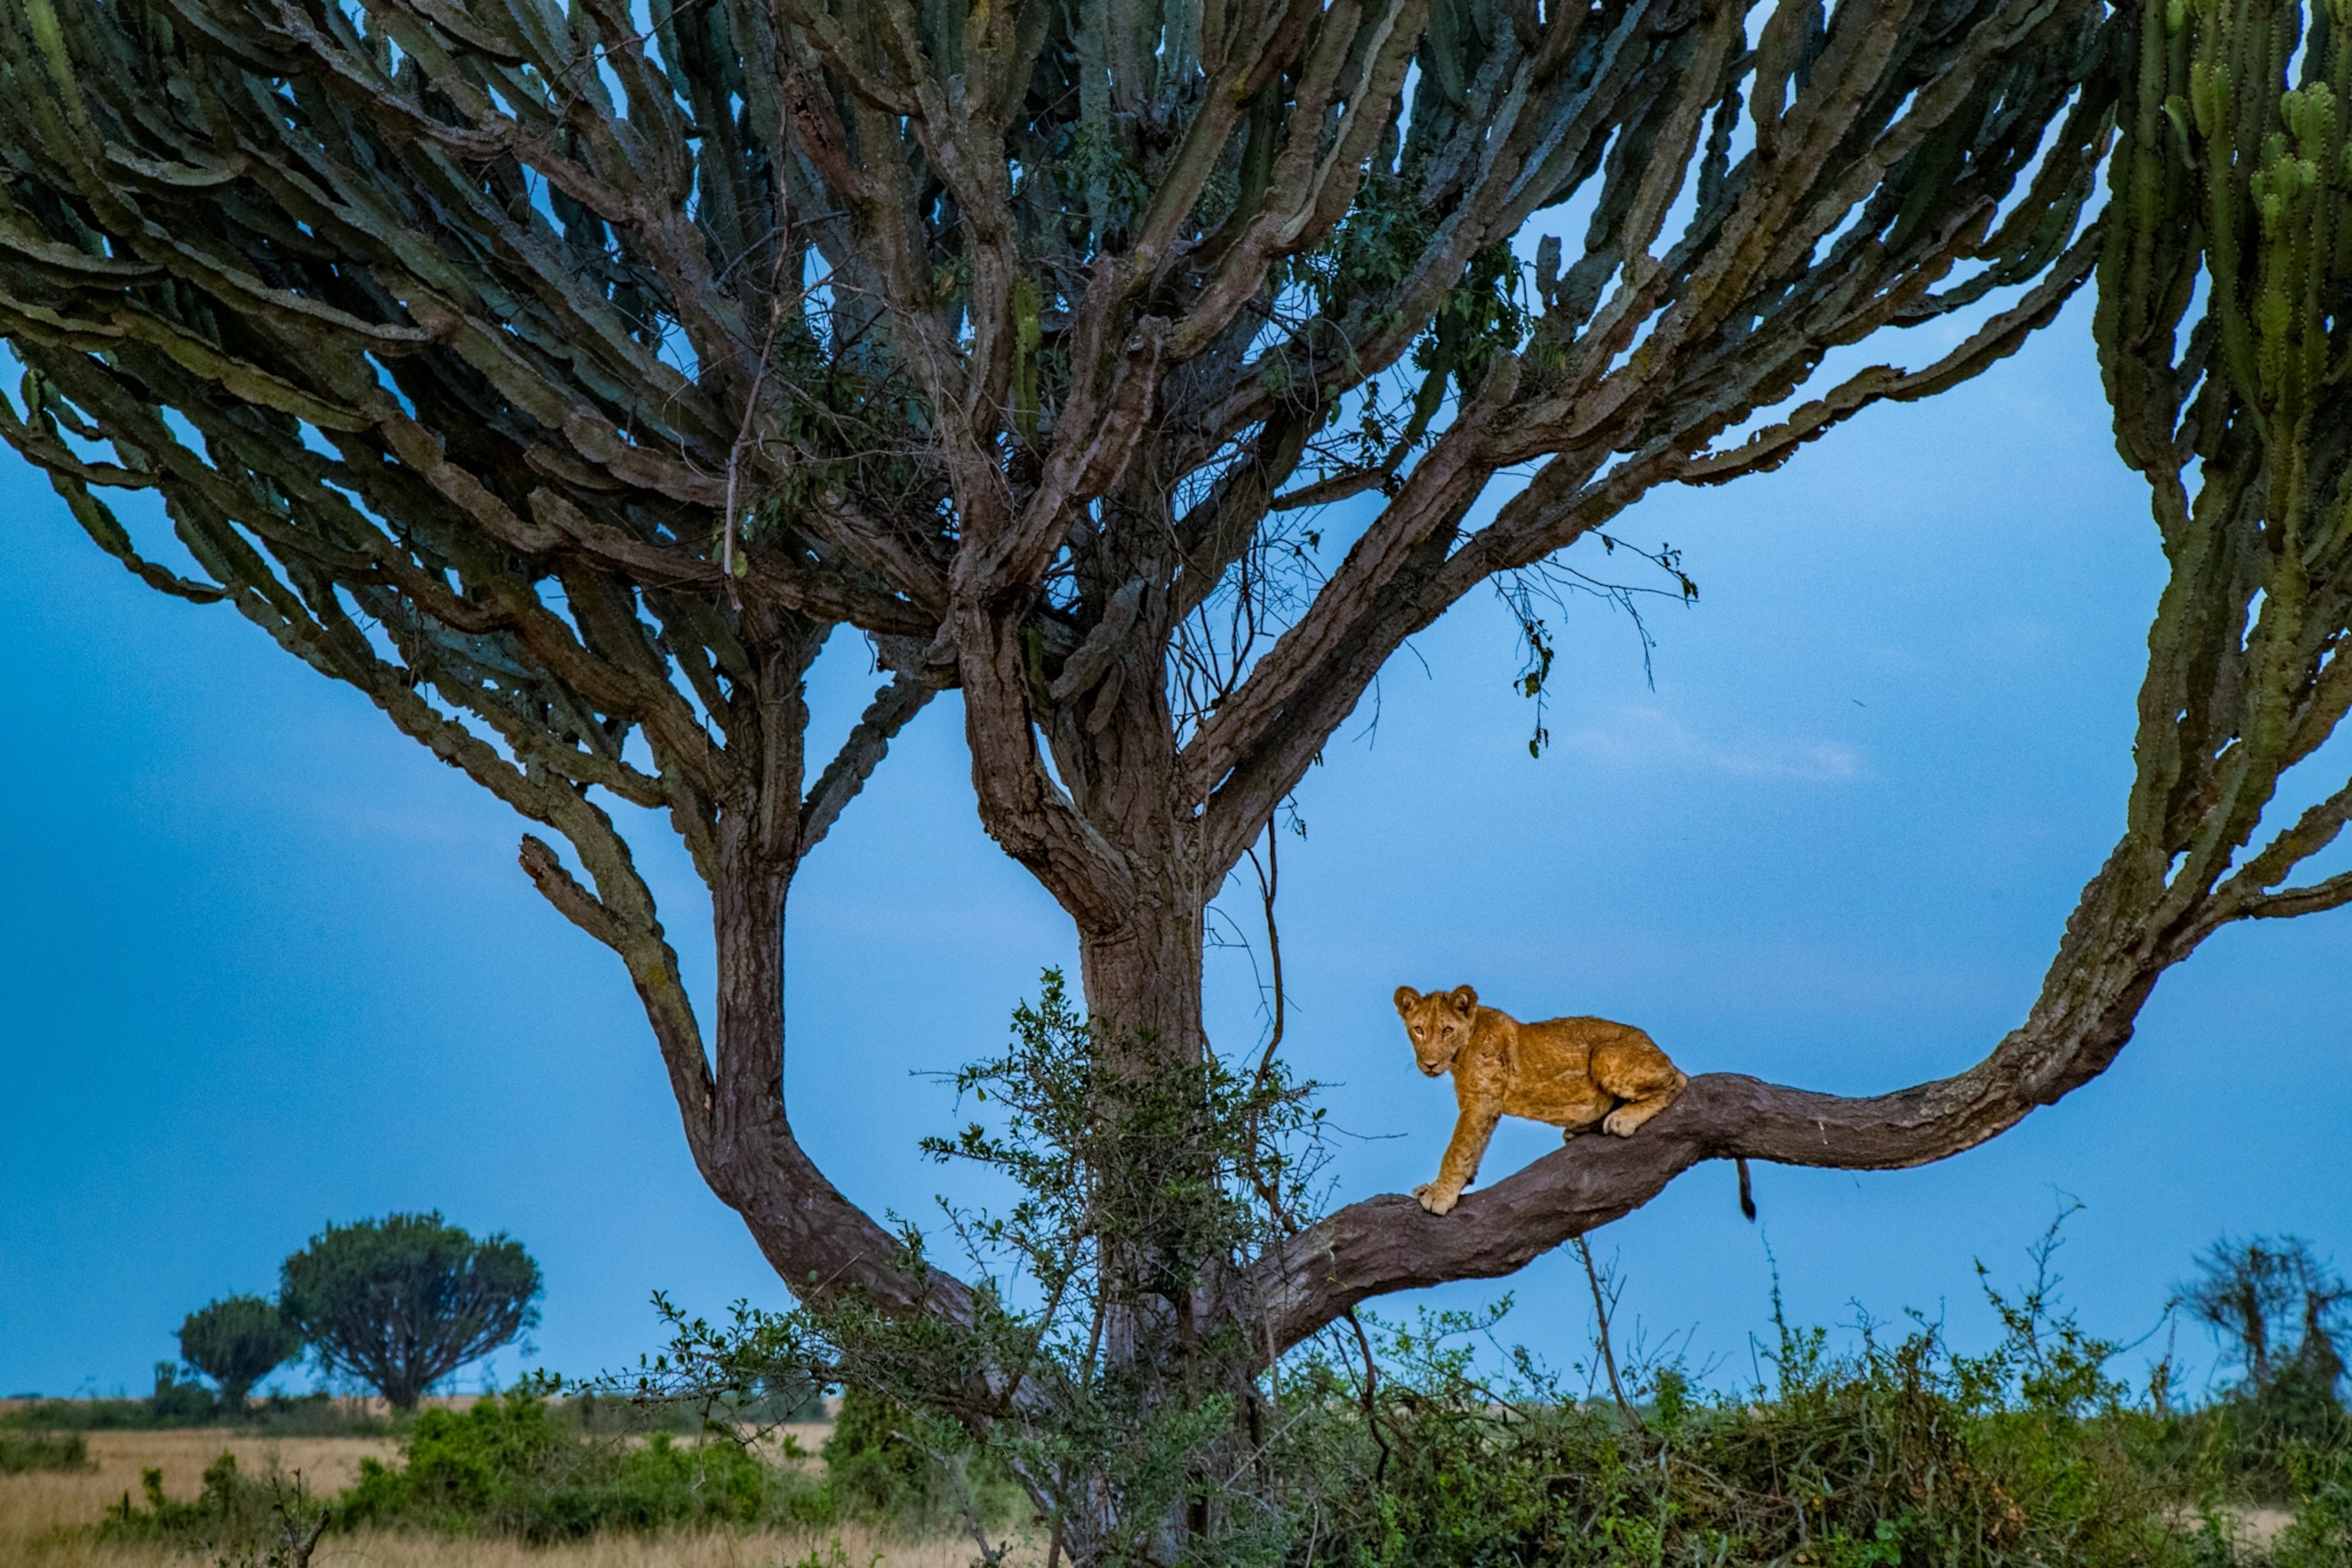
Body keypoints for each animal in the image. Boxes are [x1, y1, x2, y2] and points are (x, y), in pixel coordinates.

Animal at [1395, 984, 1689, 1215]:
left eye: (1447, 1030)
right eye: (1418, 1030)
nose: (1430, 1064)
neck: (1461, 1052)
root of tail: (1657, 1047)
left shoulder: (1481, 1101)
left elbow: (1457, 1149)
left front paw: (1439, 1195)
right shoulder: (1482, 1105)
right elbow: (1473, 1148)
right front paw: (1448, 1185)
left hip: (1605, 1054)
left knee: (1678, 1082)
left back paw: (1622, 1119)